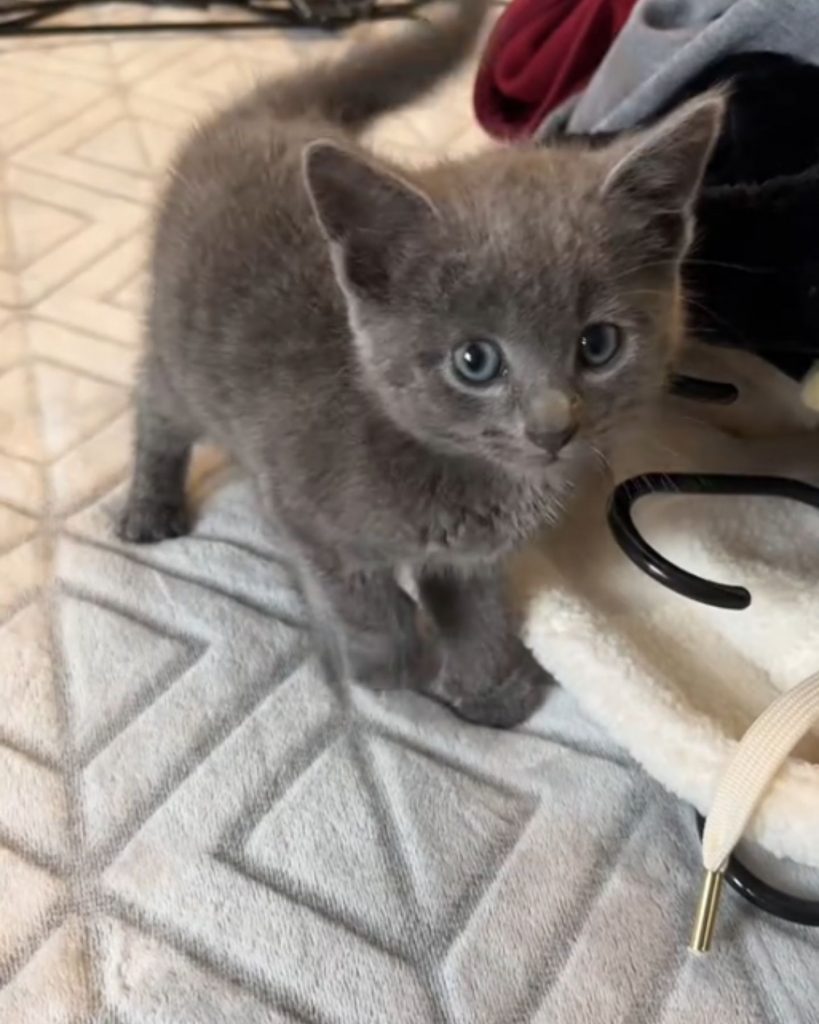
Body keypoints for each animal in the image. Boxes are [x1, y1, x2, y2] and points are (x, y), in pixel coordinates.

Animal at [118, 0, 720, 733]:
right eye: (475, 361)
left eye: (598, 344)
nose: (552, 427)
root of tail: (263, 116)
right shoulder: (304, 514)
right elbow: (361, 598)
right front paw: (390, 668)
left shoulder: (472, 556)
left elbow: (471, 606)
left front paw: (492, 690)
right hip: (177, 350)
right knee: (155, 409)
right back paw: (150, 508)